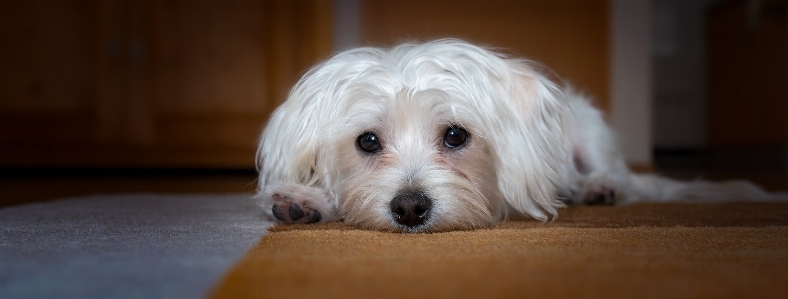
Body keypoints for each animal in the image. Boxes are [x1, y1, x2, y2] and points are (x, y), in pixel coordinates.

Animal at [258, 38, 776, 233]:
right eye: (367, 141)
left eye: (455, 136)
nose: (409, 209)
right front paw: (305, 199)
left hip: (588, 131)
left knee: (619, 178)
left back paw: (599, 188)